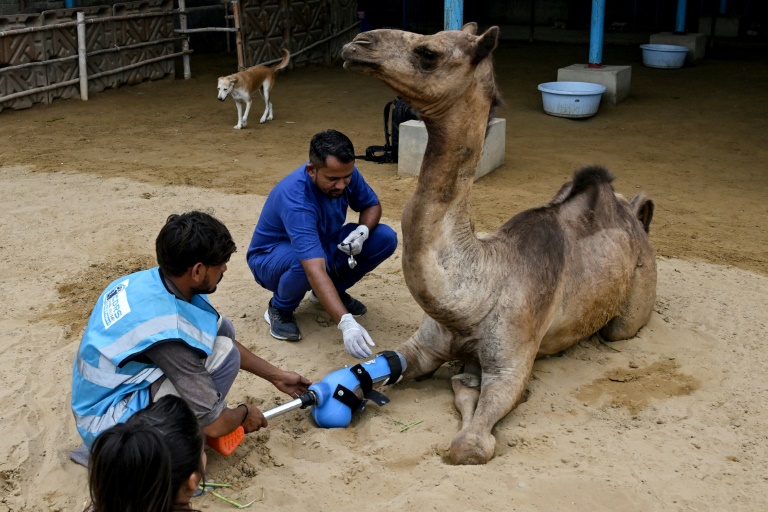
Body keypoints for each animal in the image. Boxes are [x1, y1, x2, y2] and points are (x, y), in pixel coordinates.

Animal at [341, 23, 657, 465]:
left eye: (428, 52)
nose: (357, 44)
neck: (478, 290)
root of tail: (637, 215)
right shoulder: (423, 345)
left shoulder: (512, 364)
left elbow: (469, 444)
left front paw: (476, 388)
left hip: (631, 309)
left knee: (619, 329)